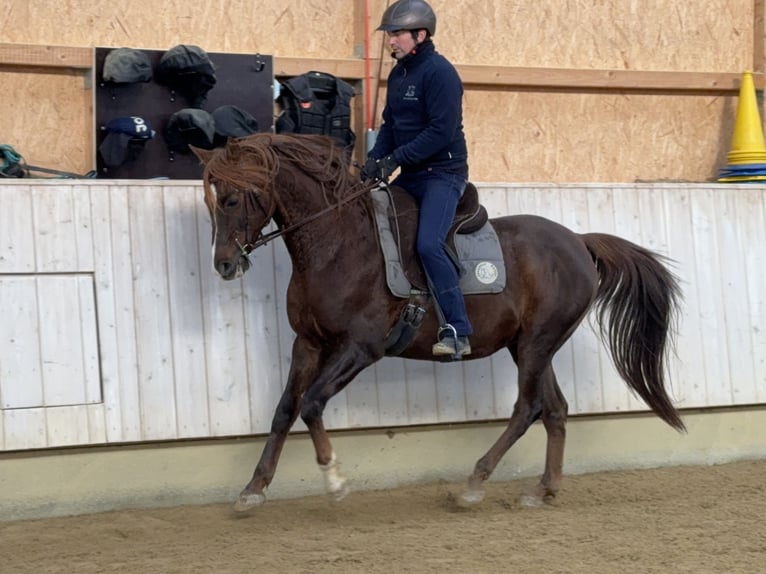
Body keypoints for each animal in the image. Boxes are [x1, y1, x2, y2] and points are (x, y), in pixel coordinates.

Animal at [190, 134, 684, 512]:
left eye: (231, 198)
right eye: (211, 203)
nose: (224, 264)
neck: (338, 244)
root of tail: (578, 241)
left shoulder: (360, 347)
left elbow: (311, 404)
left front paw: (334, 480)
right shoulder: (308, 343)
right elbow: (284, 410)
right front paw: (253, 489)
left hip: (536, 345)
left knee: (527, 408)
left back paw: (474, 484)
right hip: (529, 346)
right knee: (555, 409)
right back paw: (542, 490)